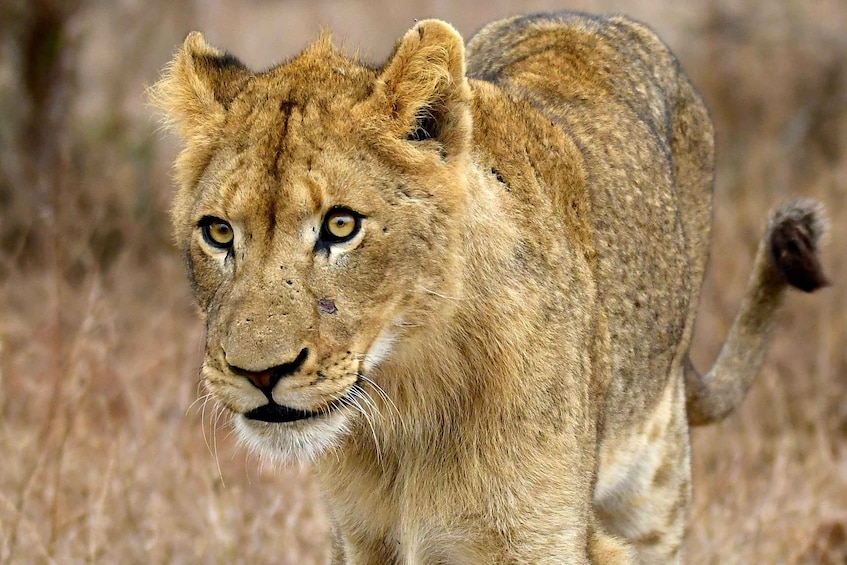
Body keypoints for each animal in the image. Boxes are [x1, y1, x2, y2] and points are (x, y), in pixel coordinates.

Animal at [151, 12, 829, 564]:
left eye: (341, 226)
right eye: (218, 232)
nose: (259, 373)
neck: (404, 405)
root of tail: (589, 18)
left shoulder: (542, 540)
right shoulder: (360, 540)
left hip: (655, 493)